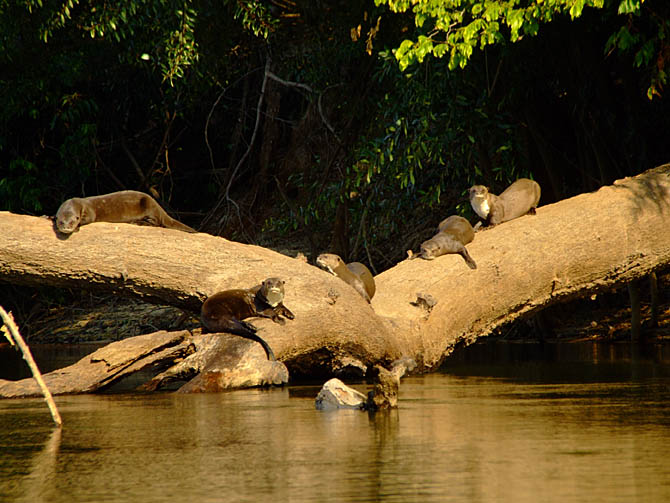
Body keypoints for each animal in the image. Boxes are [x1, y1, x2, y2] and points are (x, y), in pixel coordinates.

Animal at [55, 190, 197, 235]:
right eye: (61, 222)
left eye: (72, 222)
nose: (67, 228)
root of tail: (159, 207)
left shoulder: (89, 210)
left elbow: (89, 218)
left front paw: (77, 228)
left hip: (149, 206)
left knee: (156, 222)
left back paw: (138, 222)